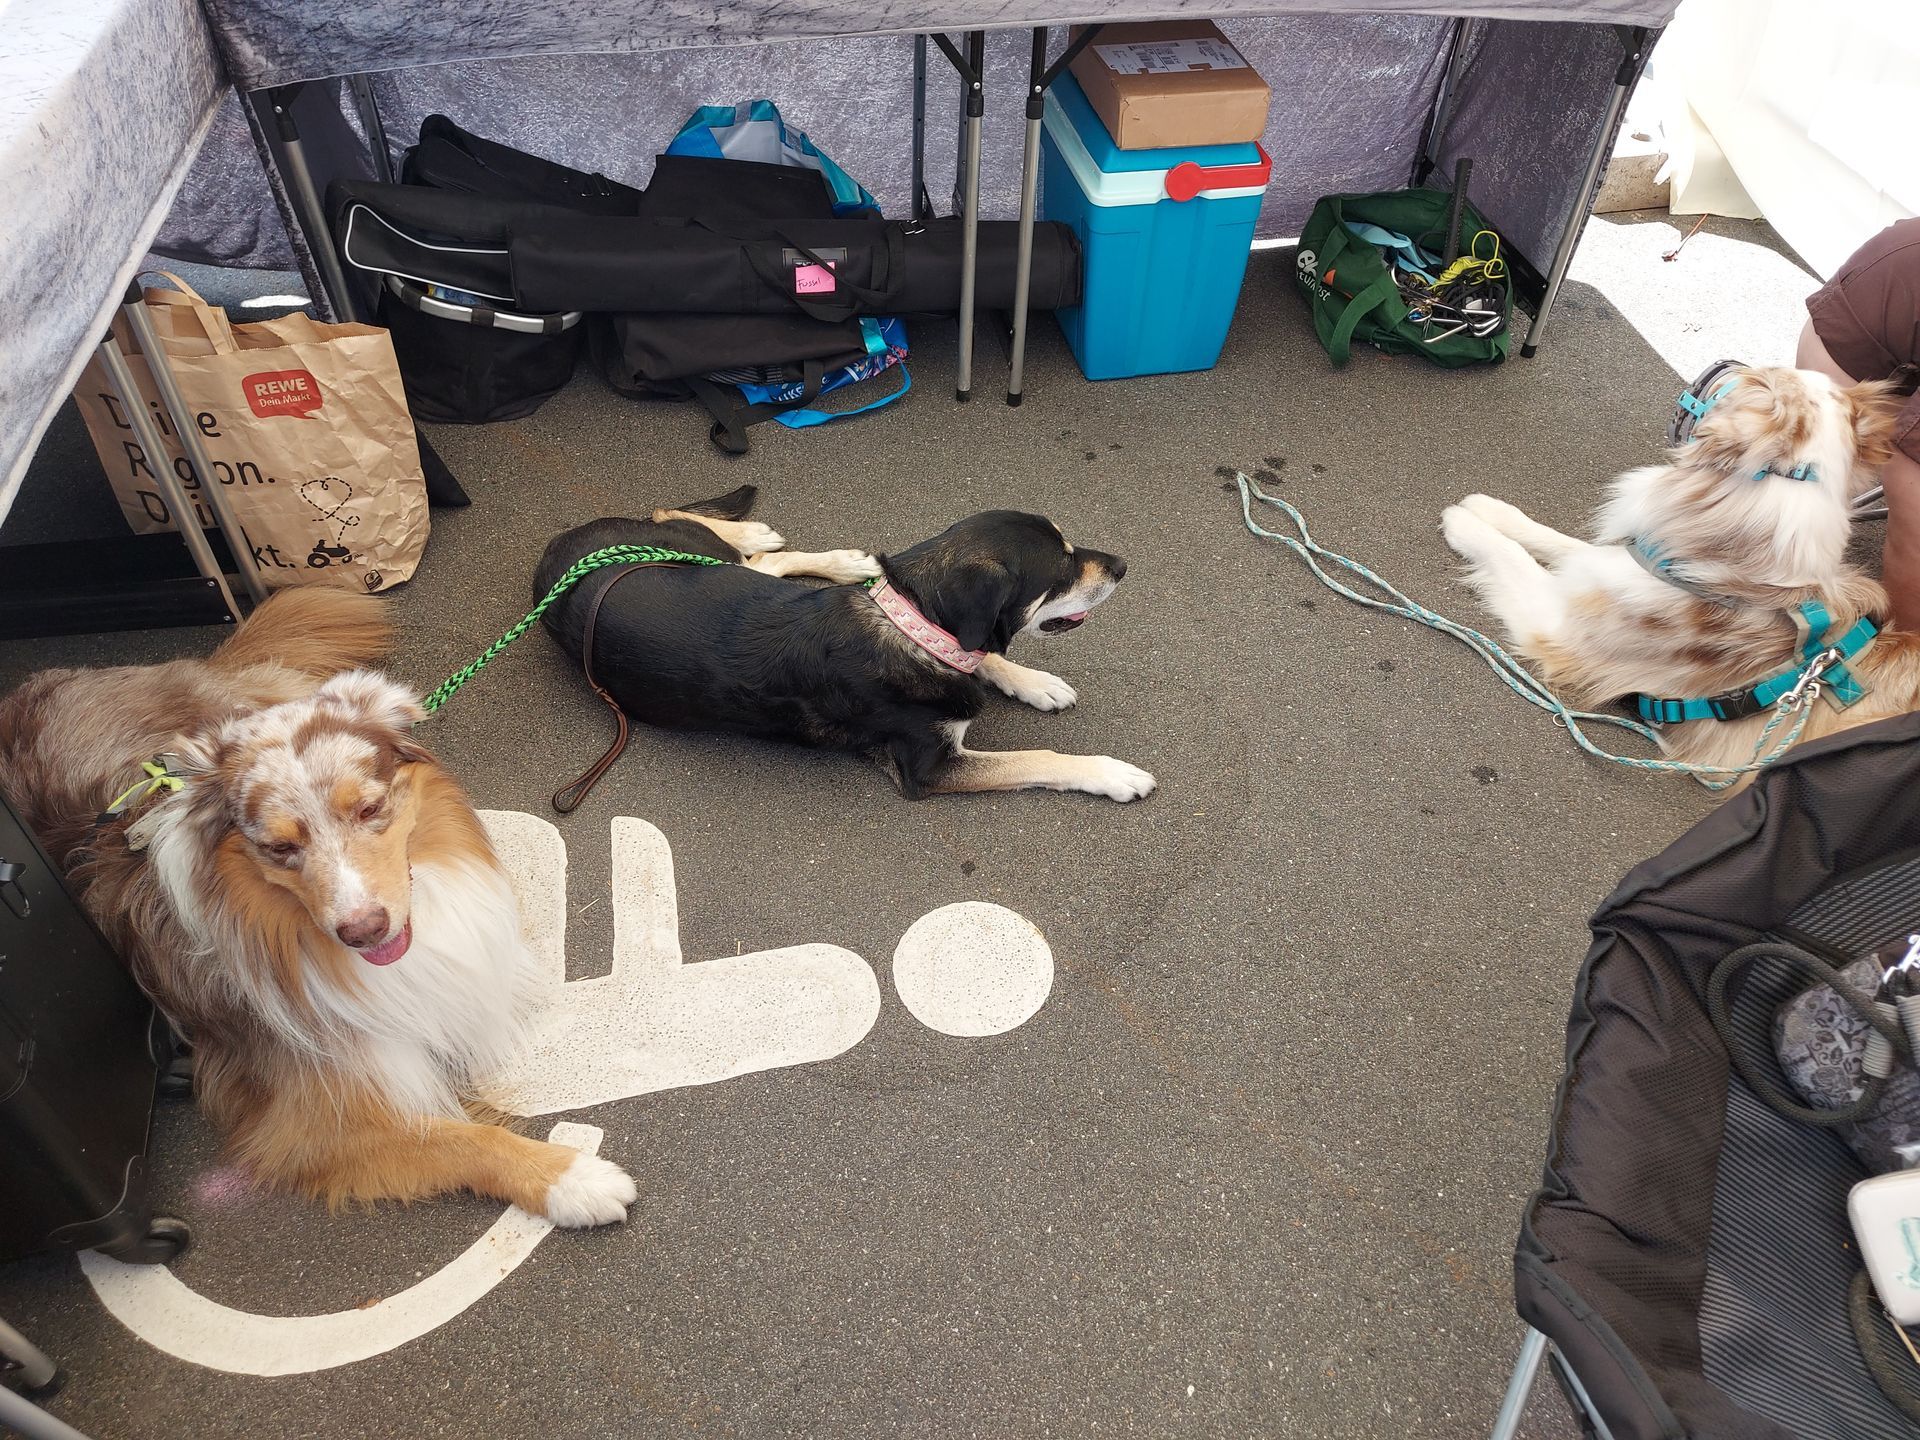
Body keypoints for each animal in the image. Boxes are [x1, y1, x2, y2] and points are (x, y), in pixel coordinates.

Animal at [537, 485, 1152, 802]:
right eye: (1062, 568)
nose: (1124, 566)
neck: (911, 623)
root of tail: (555, 554)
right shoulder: (929, 767)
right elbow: (1037, 757)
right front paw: (1110, 774)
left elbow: (990, 656)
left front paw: (1035, 683)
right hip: (698, 554)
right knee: (686, 520)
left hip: (711, 561)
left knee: (751, 554)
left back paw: (832, 558)